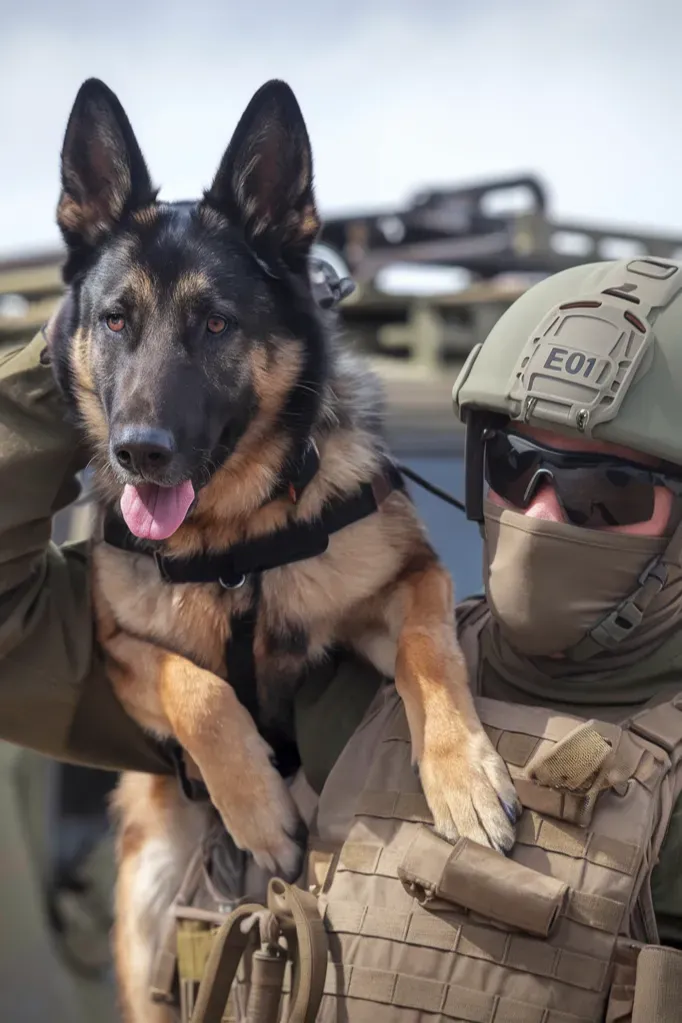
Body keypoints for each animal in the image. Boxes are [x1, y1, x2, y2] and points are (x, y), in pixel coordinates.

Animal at [49, 75, 517, 1018]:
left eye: (216, 324)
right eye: (115, 321)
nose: (139, 452)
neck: (234, 539)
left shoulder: (407, 581)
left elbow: (427, 654)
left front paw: (463, 775)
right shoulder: (116, 649)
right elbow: (196, 688)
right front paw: (260, 808)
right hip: (152, 896)